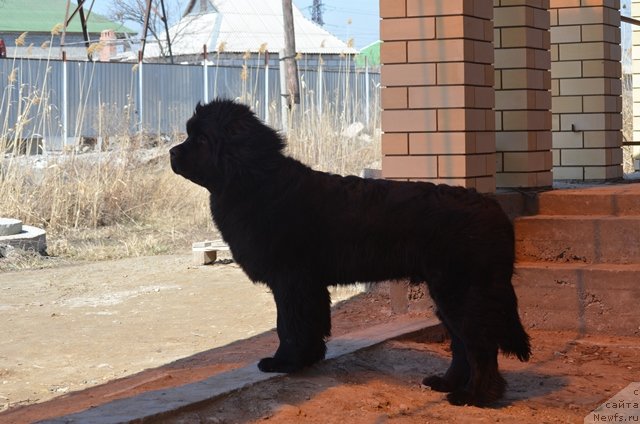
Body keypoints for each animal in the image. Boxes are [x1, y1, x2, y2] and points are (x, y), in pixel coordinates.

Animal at [169, 97, 528, 406]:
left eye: (201, 139)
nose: (172, 152)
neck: (256, 183)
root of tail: (493, 208)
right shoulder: (307, 285)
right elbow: (306, 325)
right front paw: (307, 359)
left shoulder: (292, 281)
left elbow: (289, 325)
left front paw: (285, 362)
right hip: (450, 293)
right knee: (460, 344)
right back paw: (447, 383)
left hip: (462, 291)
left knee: (479, 344)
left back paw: (475, 396)